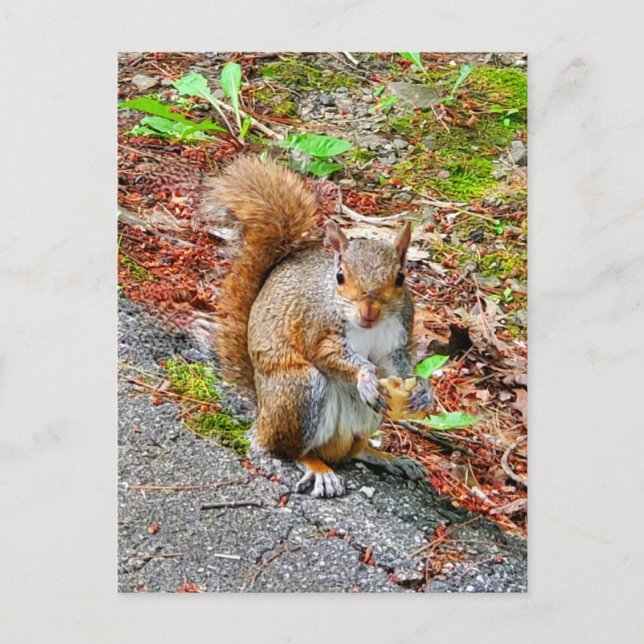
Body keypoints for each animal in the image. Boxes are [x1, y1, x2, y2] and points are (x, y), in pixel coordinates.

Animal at [206, 156, 434, 498]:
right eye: (340, 276)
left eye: (400, 278)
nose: (369, 312)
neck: (368, 328)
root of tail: (262, 416)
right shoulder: (318, 327)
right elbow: (328, 354)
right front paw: (366, 376)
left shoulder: (397, 338)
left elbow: (397, 365)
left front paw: (422, 390)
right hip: (300, 391)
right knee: (289, 449)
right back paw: (318, 468)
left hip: (364, 418)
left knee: (351, 452)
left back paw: (384, 457)